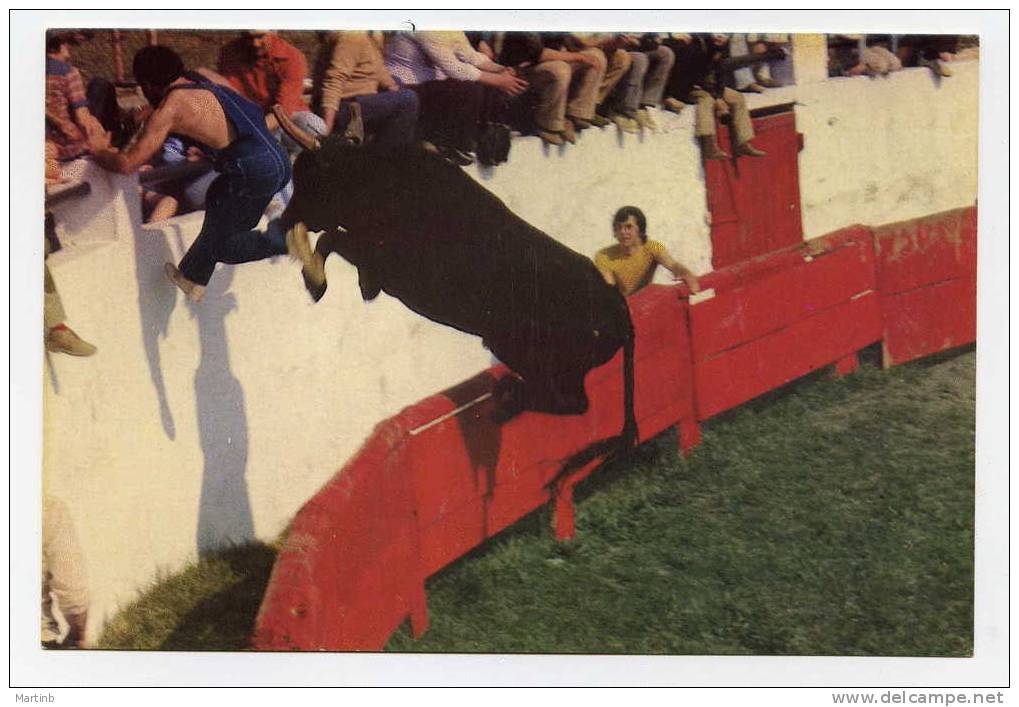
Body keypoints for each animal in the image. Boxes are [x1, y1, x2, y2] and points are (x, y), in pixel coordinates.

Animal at [279, 139, 635, 444]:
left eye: (313, 180)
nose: (283, 219)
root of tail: (618, 307)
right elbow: (333, 242)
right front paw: (320, 280)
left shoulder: (378, 257)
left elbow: (331, 239)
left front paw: (315, 279)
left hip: (522, 352)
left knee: (572, 402)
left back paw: (507, 398)